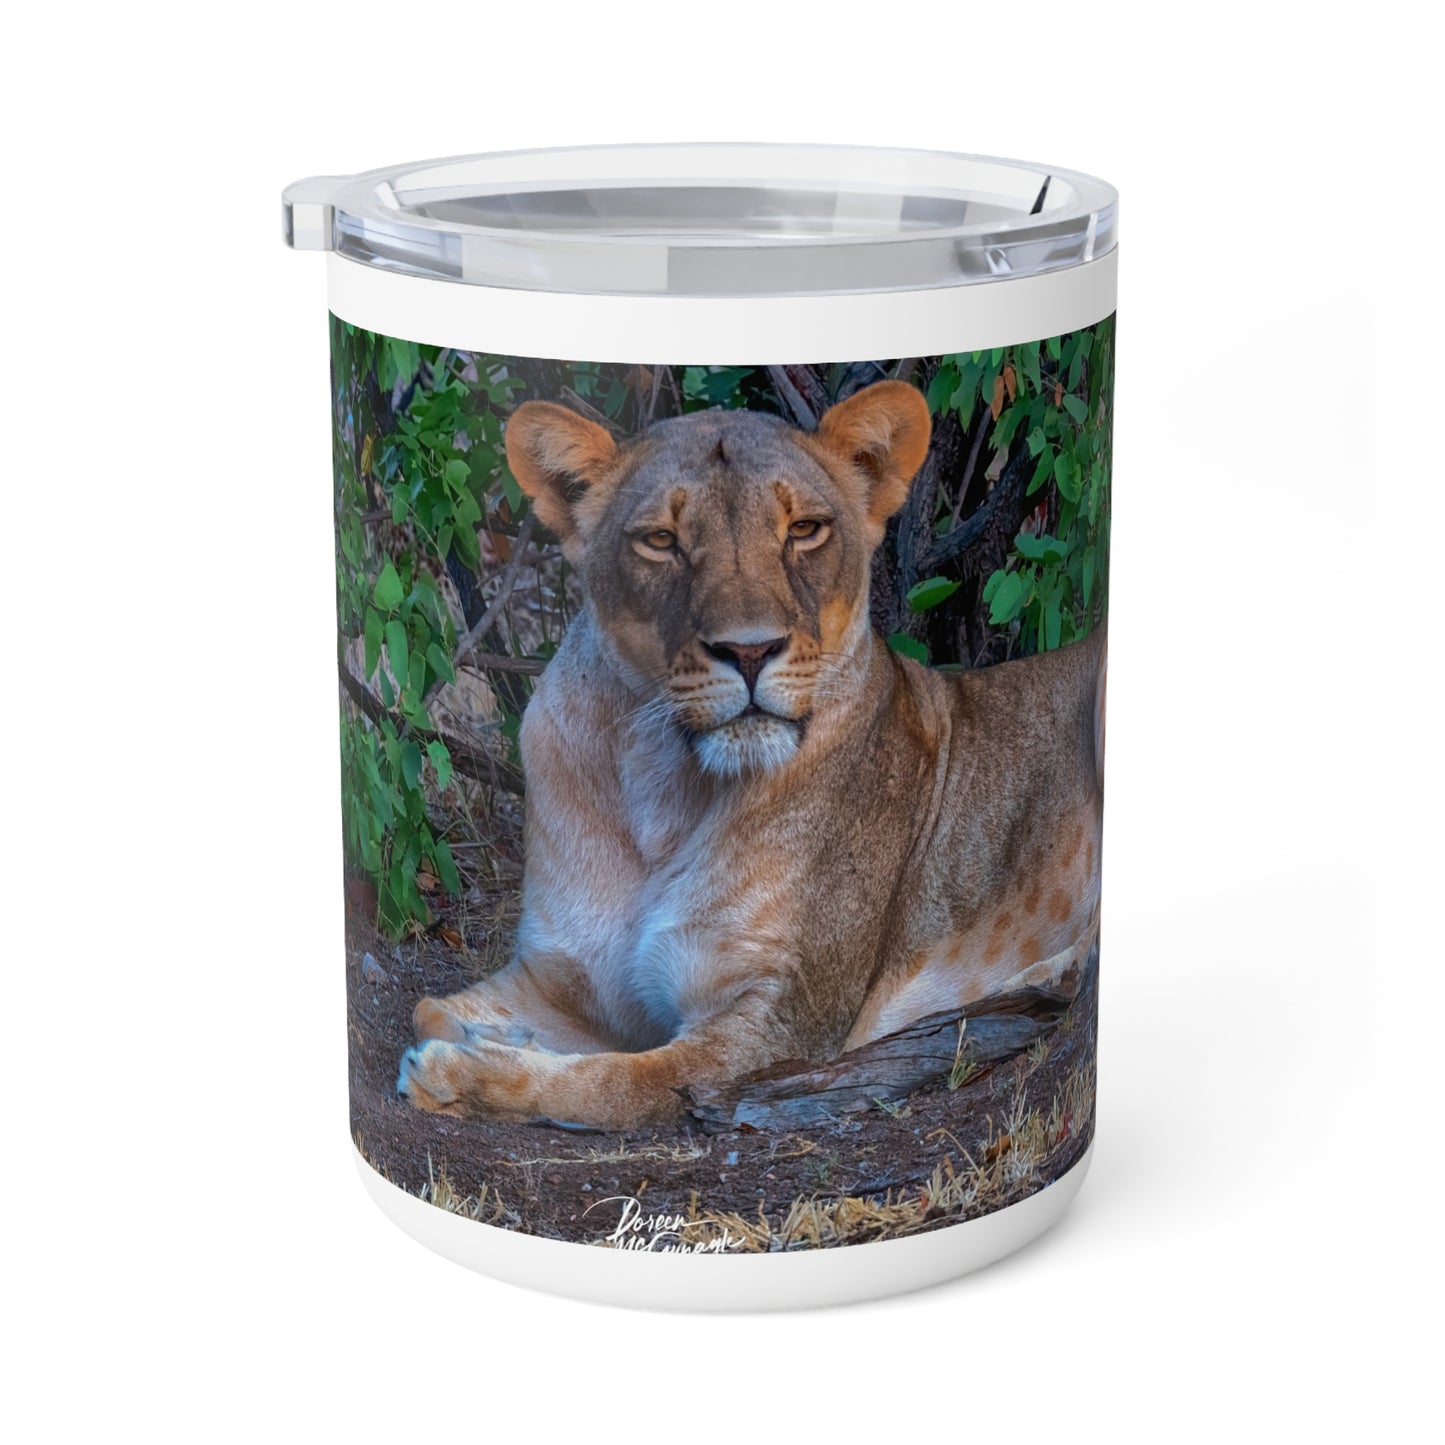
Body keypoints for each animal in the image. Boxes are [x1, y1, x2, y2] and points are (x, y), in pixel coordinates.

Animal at [396, 380, 1105, 1130]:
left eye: (804, 530)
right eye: (661, 541)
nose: (749, 649)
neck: (661, 785)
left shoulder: (777, 1025)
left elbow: (618, 1083)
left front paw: (463, 1076)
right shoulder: (560, 977)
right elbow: (428, 1008)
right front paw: (492, 1039)